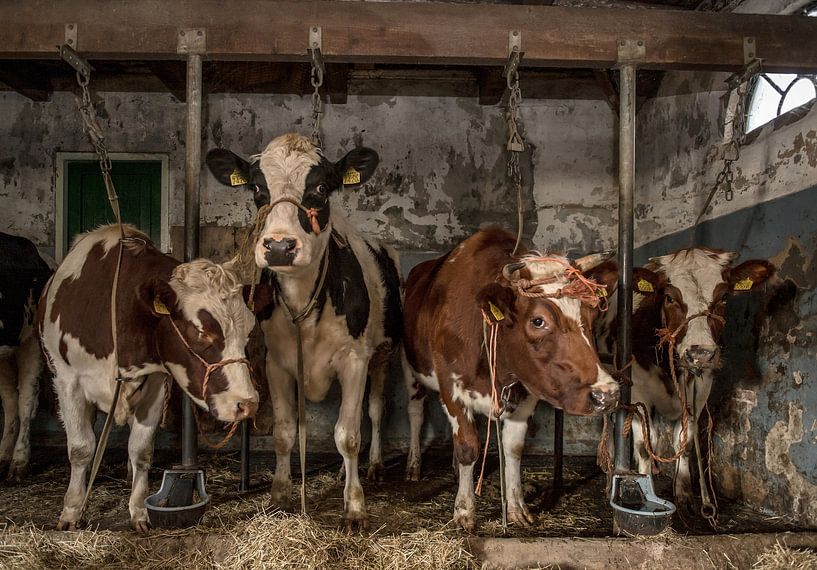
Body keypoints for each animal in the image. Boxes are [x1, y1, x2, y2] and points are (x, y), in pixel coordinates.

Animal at [38, 223, 268, 528]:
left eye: (249, 331)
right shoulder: (68, 381)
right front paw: (72, 510)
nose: (247, 403)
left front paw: (139, 511)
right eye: (200, 331)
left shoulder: (157, 382)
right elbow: (80, 447)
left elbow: (141, 449)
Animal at [206, 133, 404, 528]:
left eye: (321, 188)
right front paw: (280, 495)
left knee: (375, 410)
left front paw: (354, 506)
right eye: (257, 189)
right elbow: (285, 432)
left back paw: (373, 466)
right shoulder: (277, 363)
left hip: (383, 355)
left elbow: (348, 435)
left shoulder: (354, 360)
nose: (280, 246)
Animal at [402, 226, 620, 528]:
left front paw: (517, 508)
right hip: (410, 369)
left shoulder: (526, 391)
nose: (607, 394)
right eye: (538, 321)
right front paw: (464, 511)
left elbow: (513, 449)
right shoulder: (451, 388)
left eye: (591, 315)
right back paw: (413, 465)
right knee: (416, 412)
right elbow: (468, 445)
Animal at [592, 246, 772, 508]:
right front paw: (643, 489)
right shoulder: (638, 394)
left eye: (723, 297)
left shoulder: (699, 392)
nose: (700, 353)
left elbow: (684, 443)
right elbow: (644, 446)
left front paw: (684, 495)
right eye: (669, 297)